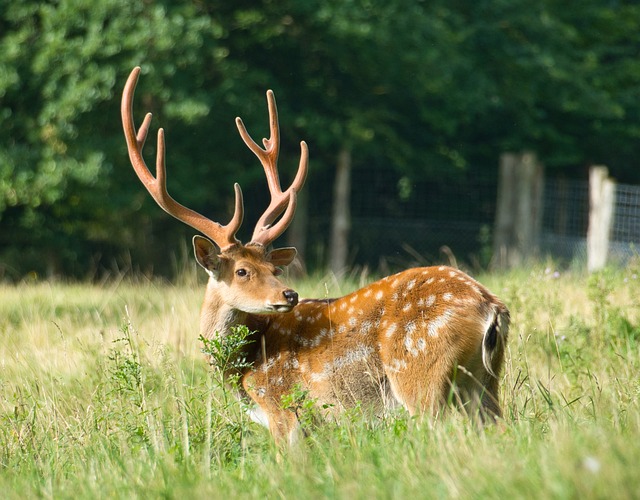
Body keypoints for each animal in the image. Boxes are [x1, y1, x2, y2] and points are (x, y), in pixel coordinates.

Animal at [120, 66, 510, 446]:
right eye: (244, 270)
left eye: (272, 268)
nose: (289, 294)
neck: (244, 368)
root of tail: (491, 307)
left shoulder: (282, 407)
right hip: (485, 382)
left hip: (420, 374)